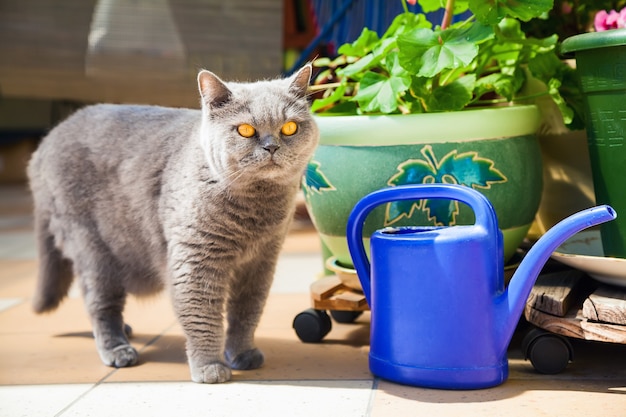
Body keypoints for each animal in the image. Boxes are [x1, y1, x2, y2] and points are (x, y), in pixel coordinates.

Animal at [25, 66, 316, 382]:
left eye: (290, 128)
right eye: (246, 130)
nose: (271, 146)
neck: (256, 210)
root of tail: (47, 140)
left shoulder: (261, 262)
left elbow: (248, 311)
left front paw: (242, 353)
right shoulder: (196, 259)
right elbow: (202, 315)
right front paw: (209, 367)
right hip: (91, 247)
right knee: (99, 303)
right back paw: (118, 349)